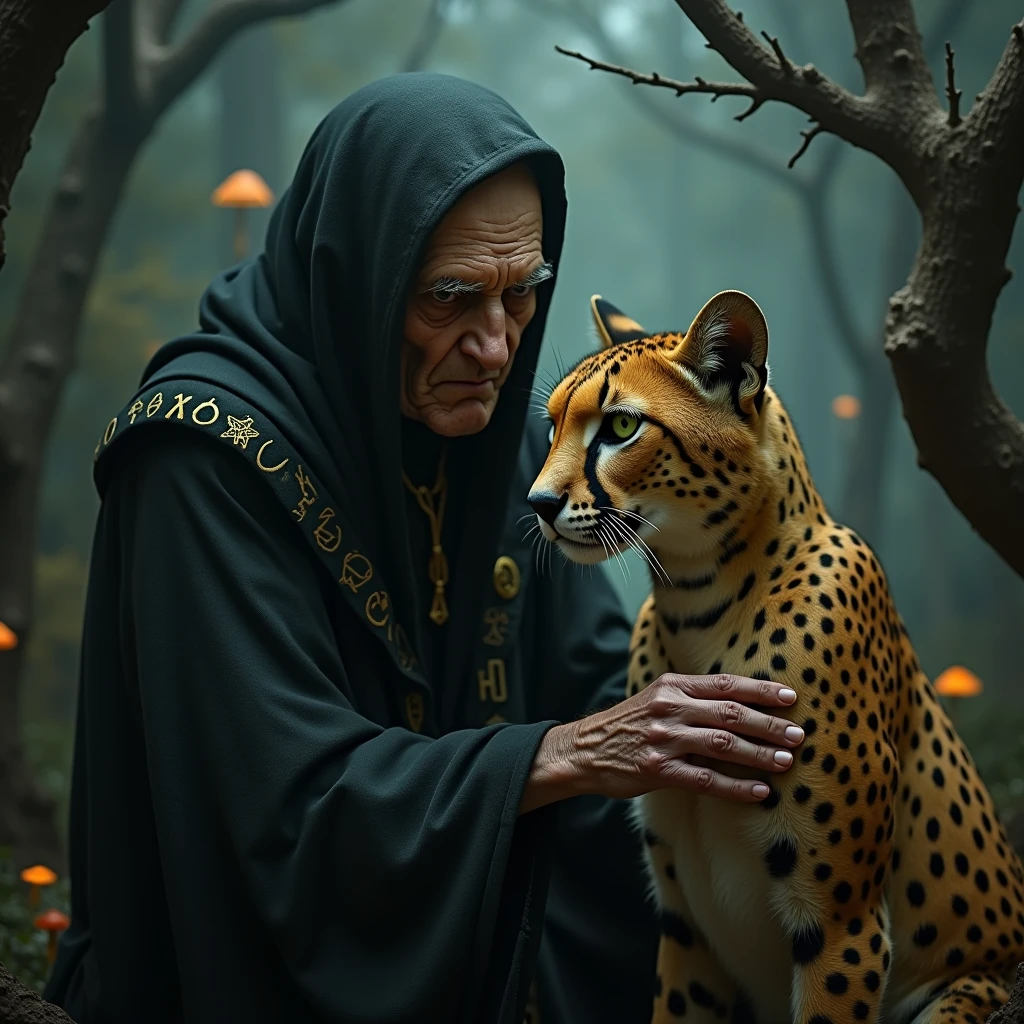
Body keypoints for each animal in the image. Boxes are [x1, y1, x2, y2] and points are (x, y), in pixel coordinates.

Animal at [527, 289, 1024, 1024]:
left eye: (619, 426)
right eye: (554, 425)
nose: (537, 502)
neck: (696, 605)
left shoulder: (842, 925)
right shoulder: (685, 927)